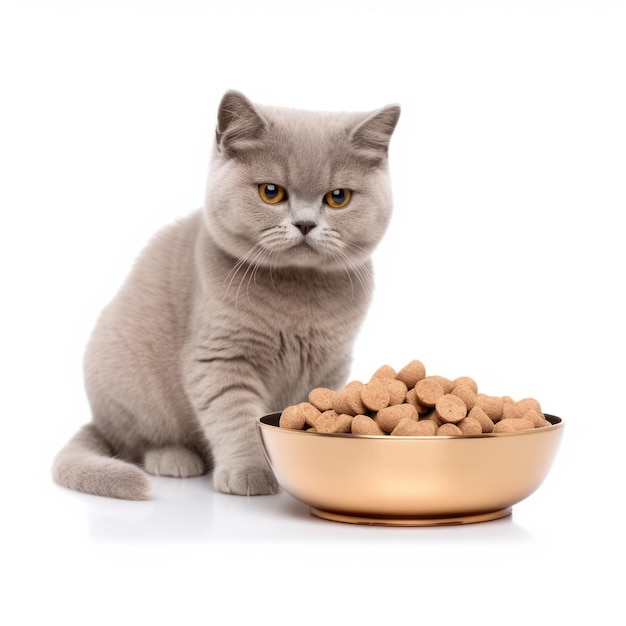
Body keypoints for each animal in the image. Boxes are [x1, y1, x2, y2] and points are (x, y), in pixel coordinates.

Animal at [51, 88, 398, 498]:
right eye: (270, 192)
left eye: (338, 197)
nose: (305, 223)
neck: (297, 295)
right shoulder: (221, 358)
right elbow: (236, 420)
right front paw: (252, 474)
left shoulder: (330, 364)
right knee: (137, 443)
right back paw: (172, 459)